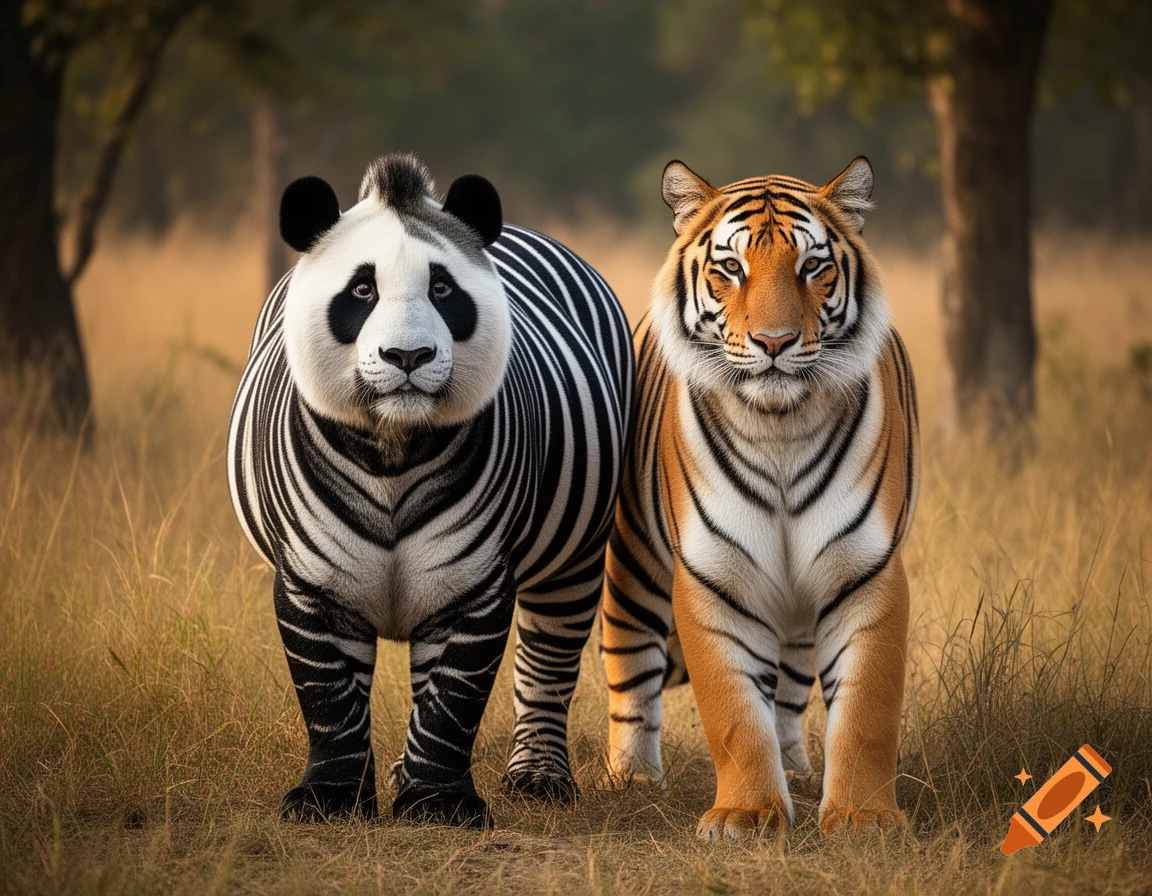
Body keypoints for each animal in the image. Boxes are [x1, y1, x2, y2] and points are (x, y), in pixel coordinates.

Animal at [227, 153, 634, 827]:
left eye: (443, 291)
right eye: (361, 291)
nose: (408, 356)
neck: (395, 446)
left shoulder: (474, 580)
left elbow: (454, 697)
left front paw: (437, 804)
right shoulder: (311, 579)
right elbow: (328, 694)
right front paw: (329, 800)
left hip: (574, 551)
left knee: (548, 656)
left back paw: (538, 777)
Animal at [600, 157, 919, 840]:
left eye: (812, 267)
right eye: (731, 268)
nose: (774, 343)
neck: (781, 431)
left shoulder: (868, 573)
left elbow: (867, 712)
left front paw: (864, 817)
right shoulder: (713, 577)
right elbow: (733, 714)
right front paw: (746, 815)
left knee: (790, 692)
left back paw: (796, 768)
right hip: (633, 566)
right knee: (631, 671)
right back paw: (631, 778)